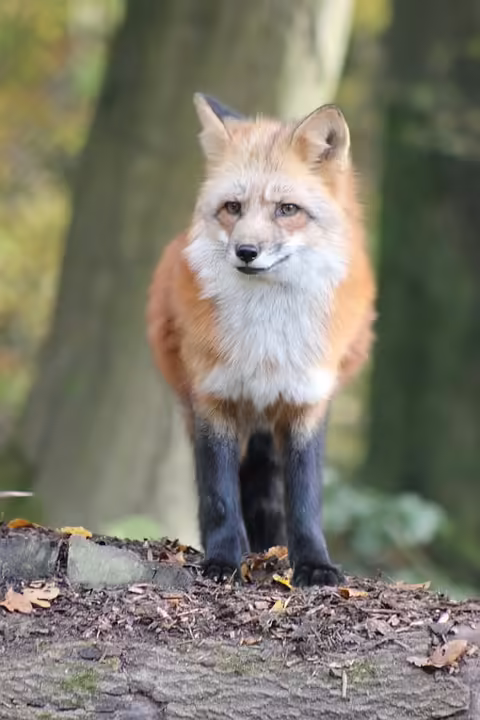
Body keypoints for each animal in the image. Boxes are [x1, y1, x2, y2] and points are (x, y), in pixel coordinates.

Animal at [147, 93, 376, 587]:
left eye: (286, 209)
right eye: (232, 207)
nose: (246, 252)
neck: (265, 340)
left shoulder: (307, 403)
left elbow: (305, 501)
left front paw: (313, 564)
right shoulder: (212, 398)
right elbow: (219, 496)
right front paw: (222, 560)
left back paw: (271, 549)